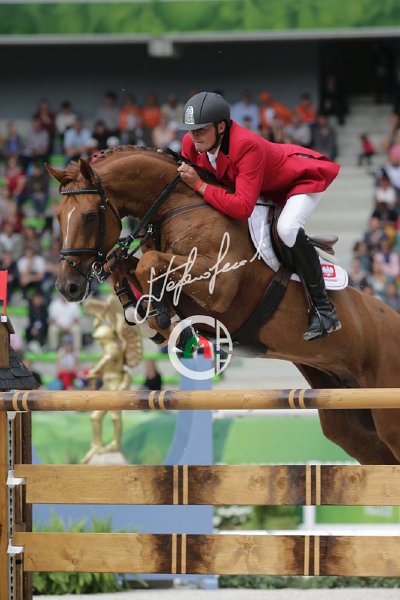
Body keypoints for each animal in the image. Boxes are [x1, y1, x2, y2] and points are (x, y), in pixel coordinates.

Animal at [46, 146, 400, 466]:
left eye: (90, 216)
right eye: (58, 217)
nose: (68, 287)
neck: (176, 205)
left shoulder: (220, 286)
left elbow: (148, 263)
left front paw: (160, 317)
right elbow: (130, 265)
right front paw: (145, 314)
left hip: (386, 412)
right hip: (350, 421)